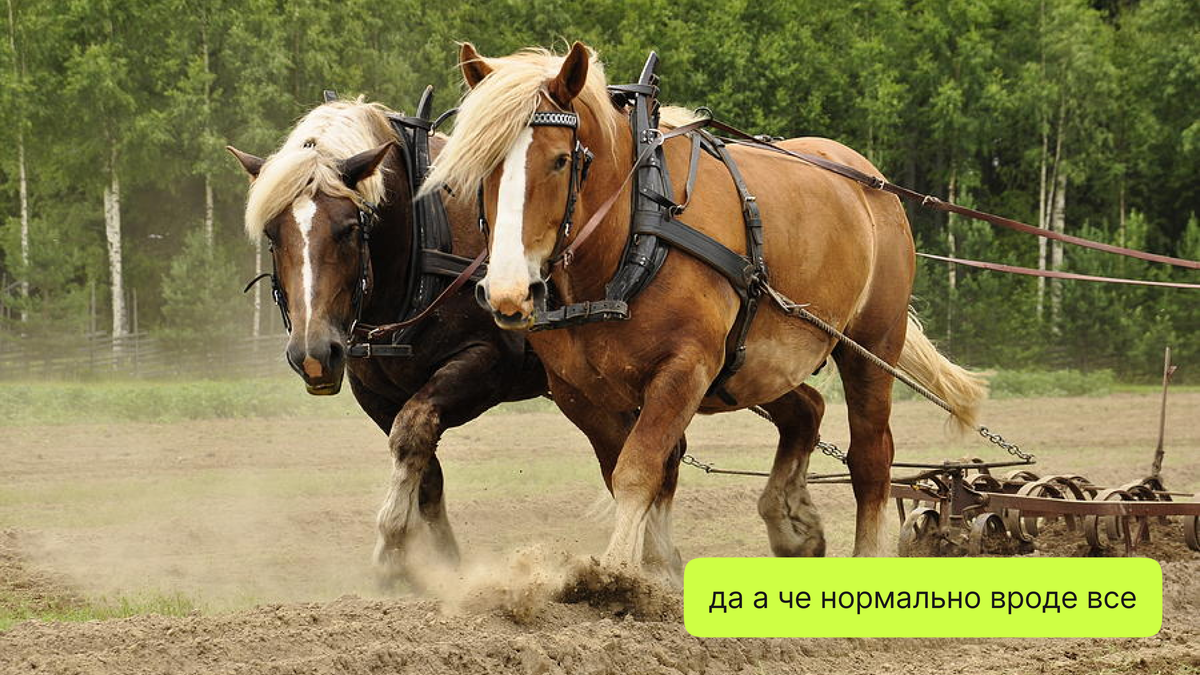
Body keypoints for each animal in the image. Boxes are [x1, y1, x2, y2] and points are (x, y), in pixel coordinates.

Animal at [226, 98, 548, 579]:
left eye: (348, 229)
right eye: (272, 234)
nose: (313, 353)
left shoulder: (488, 361)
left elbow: (411, 433)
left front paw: (390, 546)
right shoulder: (374, 389)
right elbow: (424, 470)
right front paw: (444, 563)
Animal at [423, 42, 986, 571]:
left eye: (561, 159)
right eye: (482, 163)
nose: (509, 292)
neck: (632, 237)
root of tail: (870, 179)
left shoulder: (685, 368)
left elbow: (638, 470)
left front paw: (613, 574)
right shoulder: (577, 391)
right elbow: (634, 472)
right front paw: (655, 573)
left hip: (870, 345)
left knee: (871, 457)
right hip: (757, 363)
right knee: (807, 409)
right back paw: (791, 523)